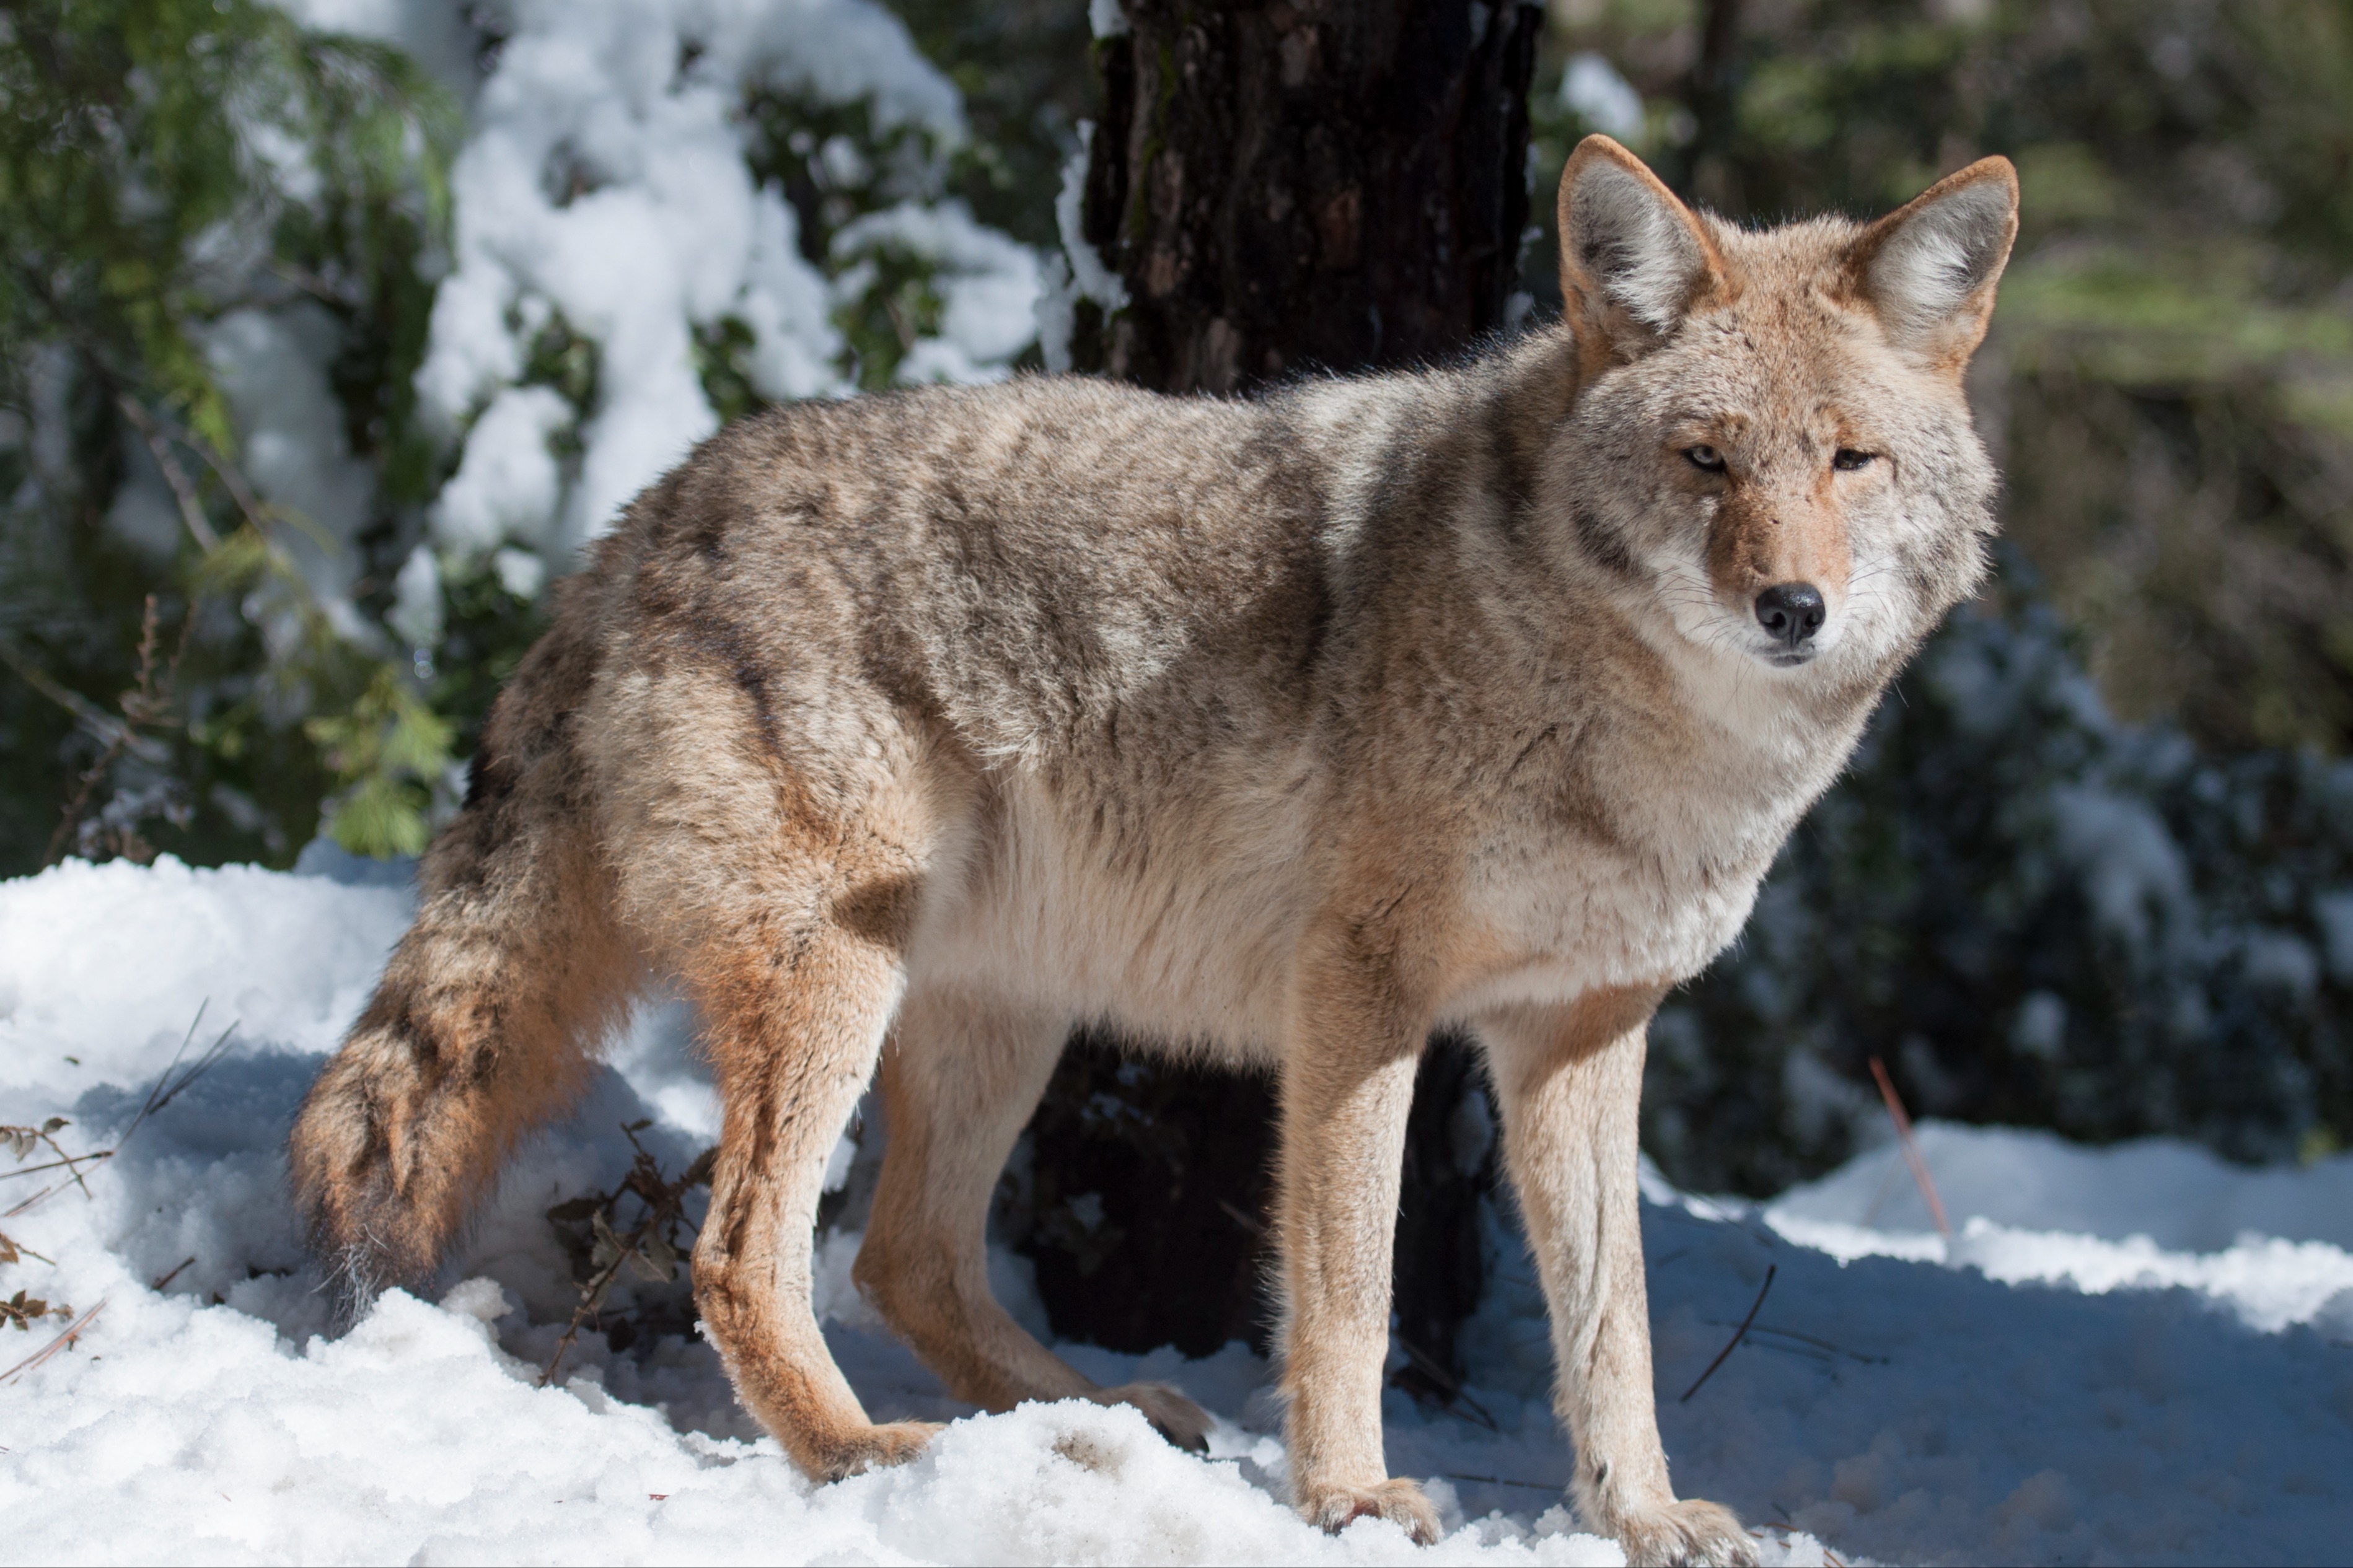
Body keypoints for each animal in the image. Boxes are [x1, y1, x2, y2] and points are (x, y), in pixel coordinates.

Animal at [289, 135, 2015, 1565]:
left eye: (1847, 461)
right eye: (1705, 460)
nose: (1787, 608)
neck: (1644, 735)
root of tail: (633, 530)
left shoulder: (1580, 1030)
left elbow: (1613, 1326)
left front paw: (1644, 1517)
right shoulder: (1358, 998)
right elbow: (1348, 1287)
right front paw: (1349, 1497)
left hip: (998, 1016)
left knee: (903, 1259)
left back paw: (1091, 1422)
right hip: (839, 981)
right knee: (742, 1253)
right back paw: (867, 1457)